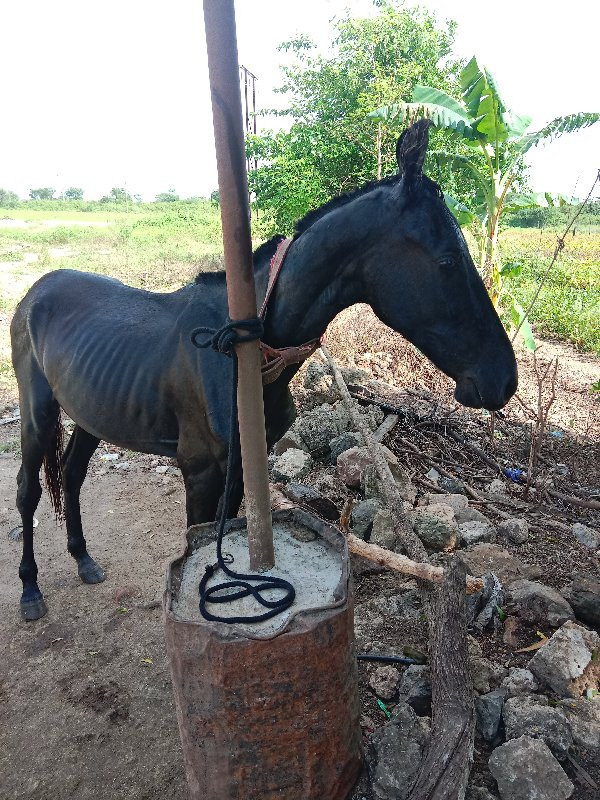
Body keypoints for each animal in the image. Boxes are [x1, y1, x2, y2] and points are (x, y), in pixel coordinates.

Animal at [9, 122, 516, 620]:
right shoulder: (198, 470)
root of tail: (35, 292)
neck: (243, 352)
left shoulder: (241, 468)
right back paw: (29, 590)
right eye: (447, 260)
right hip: (37, 414)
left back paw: (83, 559)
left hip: (89, 415)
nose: (503, 379)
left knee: (72, 474)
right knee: (27, 491)